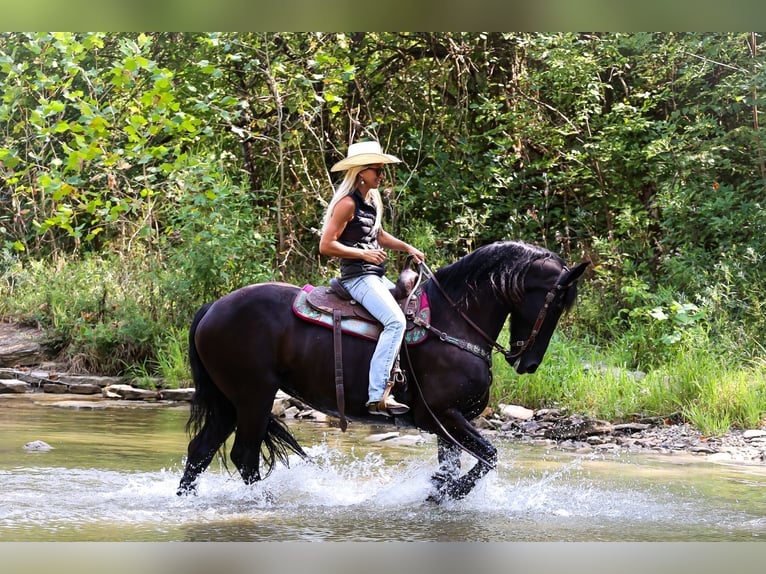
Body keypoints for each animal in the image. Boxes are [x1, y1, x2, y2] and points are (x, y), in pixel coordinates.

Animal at [176, 240, 589, 502]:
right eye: (555, 304)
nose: (528, 363)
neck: (454, 320)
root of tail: (212, 309)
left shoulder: (449, 424)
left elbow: (458, 465)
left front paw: (441, 492)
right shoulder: (443, 415)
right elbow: (489, 456)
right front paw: (445, 492)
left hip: (229, 402)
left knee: (201, 450)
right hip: (253, 398)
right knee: (244, 456)